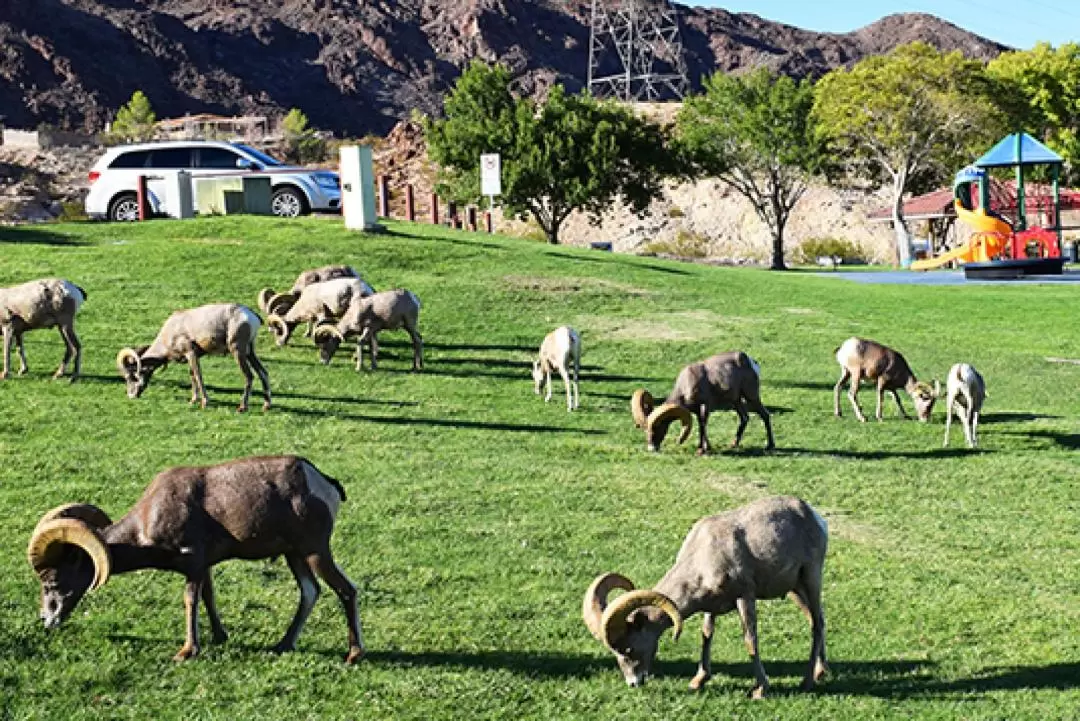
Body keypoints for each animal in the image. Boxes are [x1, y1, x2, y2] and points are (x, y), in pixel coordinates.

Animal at [24, 455, 362, 664]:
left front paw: (187, 651)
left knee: (346, 590)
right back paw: (283, 645)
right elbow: (208, 596)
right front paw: (219, 637)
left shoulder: (193, 564)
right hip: (296, 555)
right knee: (310, 592)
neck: (149, 520)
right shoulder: (205, 567)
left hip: (314, 551)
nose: (46, 620)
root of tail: (324, 483)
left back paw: (353, 655)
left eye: (53, 580)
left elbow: (191, 600)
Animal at [116, 302, 270, 410]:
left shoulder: (191, 353)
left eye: (131, 377)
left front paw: (204, 403)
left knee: (249, 376)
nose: (131, 396)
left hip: (237, 350)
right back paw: (266, 406)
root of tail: (251, 316)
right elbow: (192, 376)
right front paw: (193, 400)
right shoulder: (191, 357)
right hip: (250, 352)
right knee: (263, 372)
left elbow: (198, 376)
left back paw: (242, 407)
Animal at [583, 496, 825, 699]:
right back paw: (821, 673)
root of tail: (814, 516)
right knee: (815, 620)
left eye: (628, 649)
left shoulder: (745, 597)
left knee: (817, 624)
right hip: (795, 590)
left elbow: (750, 639)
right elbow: (706, 634)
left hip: (810, 579)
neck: (703, 556)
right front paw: (698, 681)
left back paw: (807, 682)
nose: (633, 683)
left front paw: (760, 690)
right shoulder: (711, 606)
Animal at [630, 349, 773, 455]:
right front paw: (702, 447)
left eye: (657, 428)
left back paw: (770, 446)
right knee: (745, 418)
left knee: (765, 415)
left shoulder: (705, 406)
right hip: (736, 401)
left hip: (751, 396)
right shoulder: (697, 411)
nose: (651, 449)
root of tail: (751, 363)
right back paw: (734, 444)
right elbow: (700, 426)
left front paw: (702, 450)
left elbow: (703, 425)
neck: (686, 386)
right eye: (645, 430)